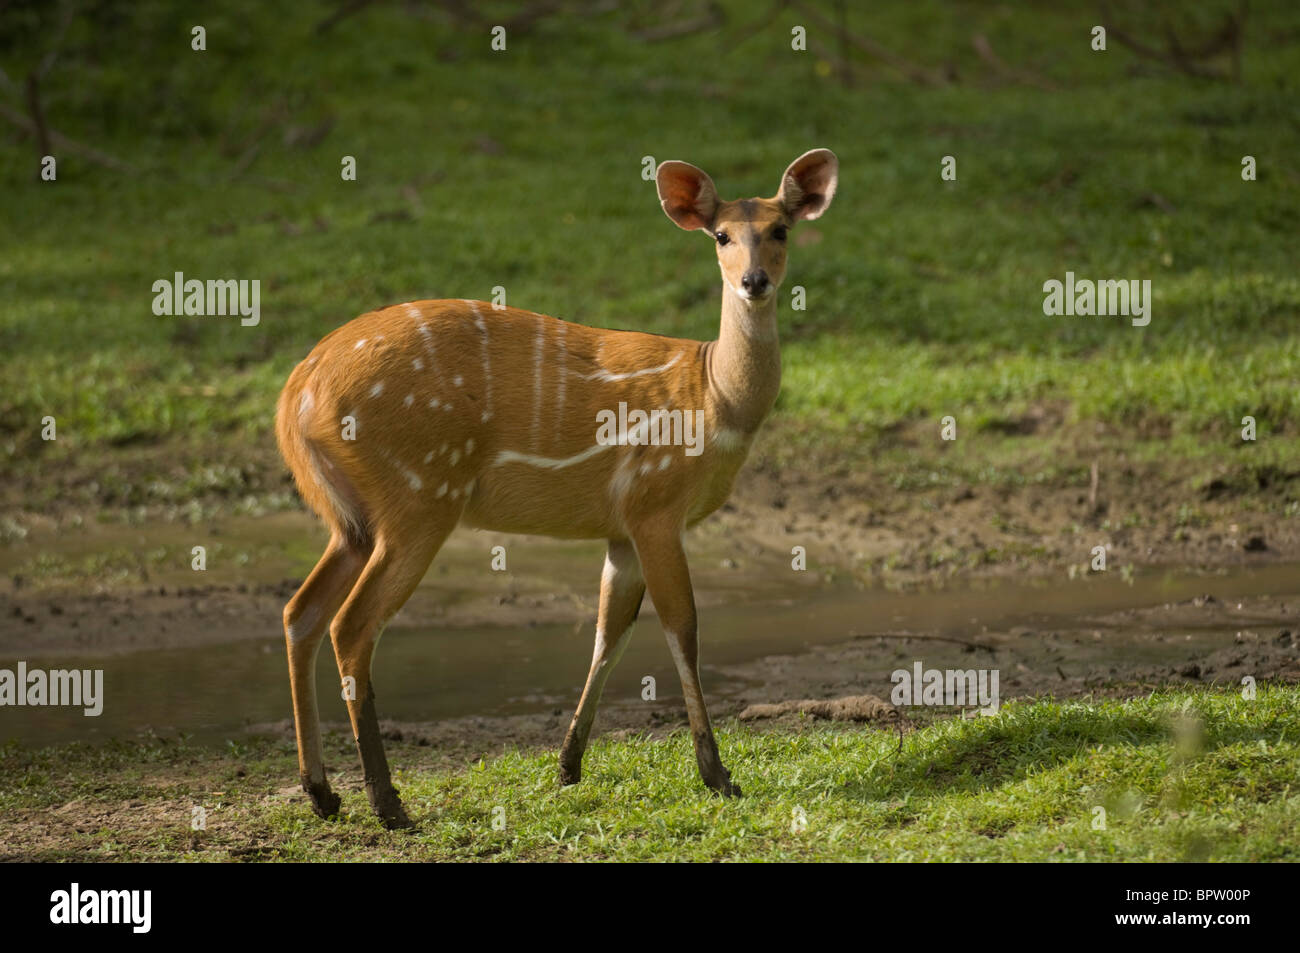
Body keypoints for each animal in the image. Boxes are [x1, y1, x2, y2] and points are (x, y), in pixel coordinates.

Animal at [278, 146, 837, 826]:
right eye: (722, 236)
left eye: (780, 230)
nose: (753, 281)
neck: (715, 400)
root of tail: (295, 397)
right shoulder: (656, 504)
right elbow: (683, 627)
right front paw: (717, 775)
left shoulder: (621, 529)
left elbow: (607, 635)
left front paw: (567, 767)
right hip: (418, 498)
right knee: (351, 626)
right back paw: (390, 805)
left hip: (352, 518)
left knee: (301, 611)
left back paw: (322, 793)